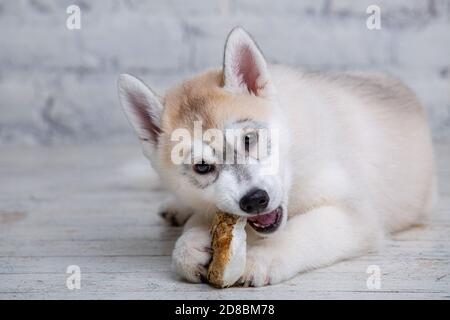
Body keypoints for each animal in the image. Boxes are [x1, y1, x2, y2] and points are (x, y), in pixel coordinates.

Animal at [117, 27, 436, 288]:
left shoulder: (354, 213)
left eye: (249, 139)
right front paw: (190, 246)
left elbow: (302, 231)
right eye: (203, 167)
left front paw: (265, 258)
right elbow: (199, 221)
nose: (255, 200)